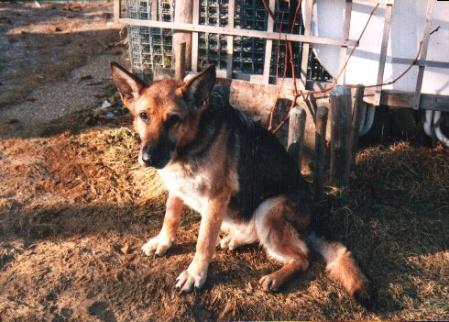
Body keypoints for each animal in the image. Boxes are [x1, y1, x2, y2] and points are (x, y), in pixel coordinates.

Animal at [110, 62, 370, 304]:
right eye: (144, 116)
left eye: (174, 120)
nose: (148, 159)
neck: (191, 144)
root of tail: (312, 220)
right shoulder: (178, 190)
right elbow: (170, 218)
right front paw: (163, 242)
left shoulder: (216, 199)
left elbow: (203, 242)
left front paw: (195, 275)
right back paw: (236, 239)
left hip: (267, 209)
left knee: (303, 257)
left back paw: (276, 277)